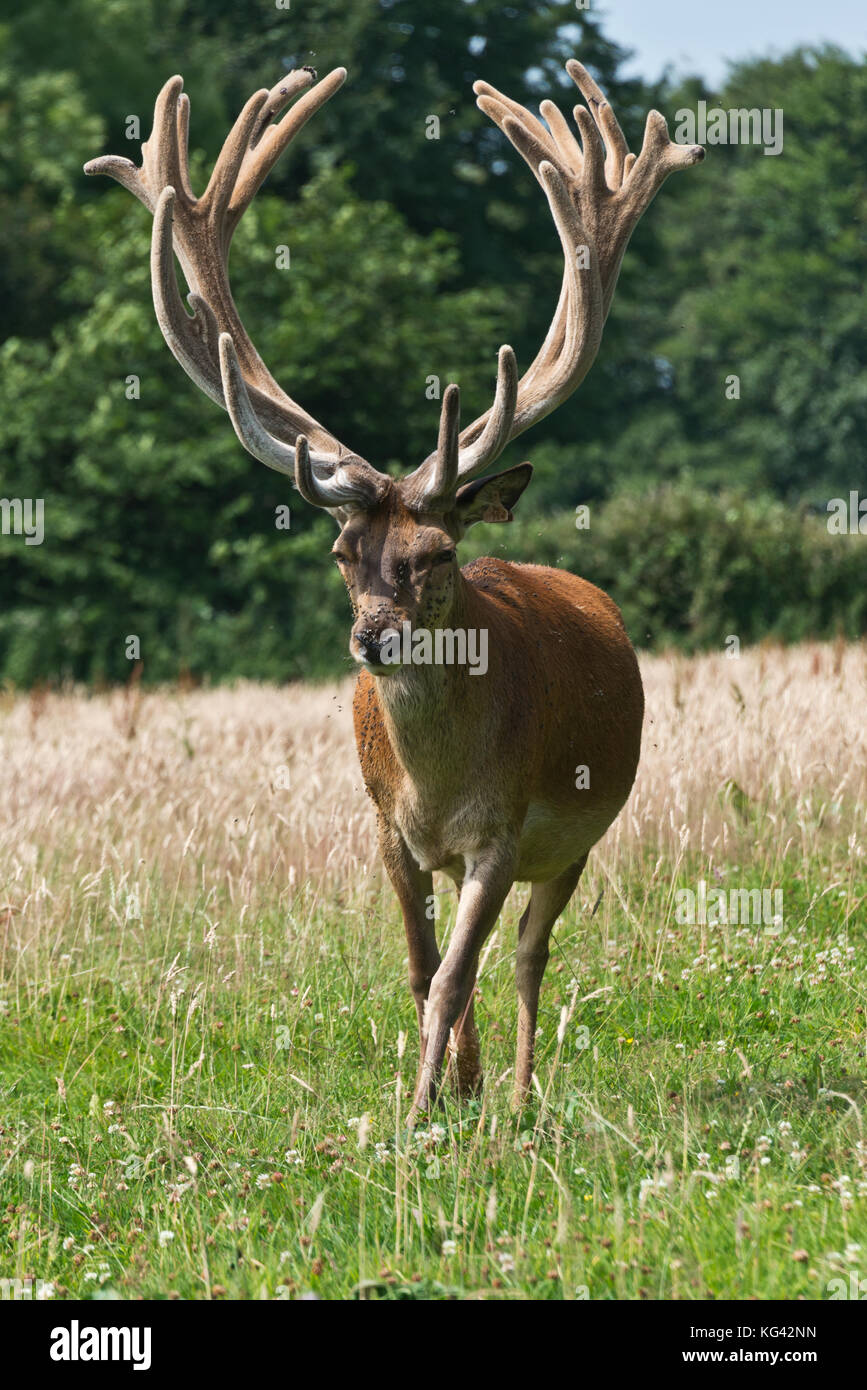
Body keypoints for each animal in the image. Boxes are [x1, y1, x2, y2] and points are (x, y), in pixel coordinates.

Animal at [85, 57, 703, 1121]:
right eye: (343, 551)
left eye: (437, 553)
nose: (373, 639)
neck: (438, 786)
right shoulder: (385, 829)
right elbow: (422, 970)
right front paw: (436, 1095)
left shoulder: (504, 833)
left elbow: (460, 971)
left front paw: (419, 1110)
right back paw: (476, 1080)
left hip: (580, 831)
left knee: (529, 955)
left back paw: (522, 1095)